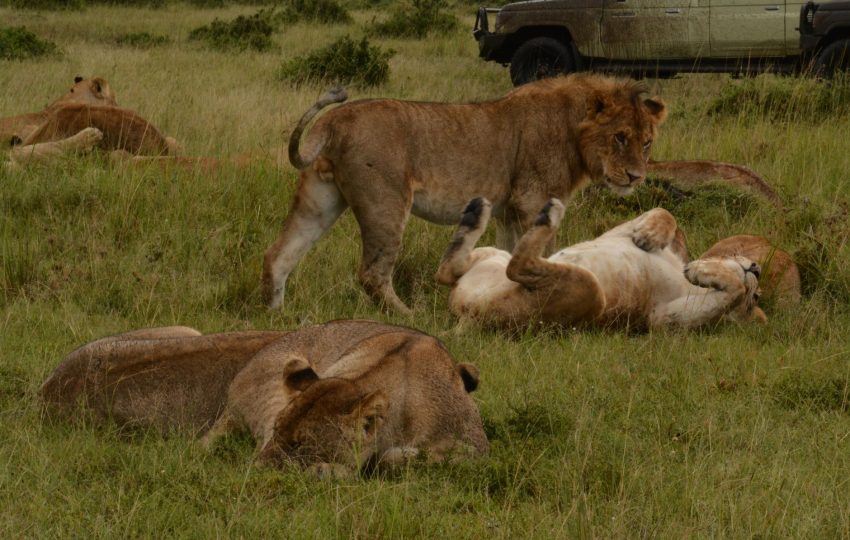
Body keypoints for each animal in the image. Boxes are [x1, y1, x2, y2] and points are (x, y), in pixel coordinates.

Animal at [263, 75, 668, 314]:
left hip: (321, 199)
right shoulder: (533, 199)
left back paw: (275, 314)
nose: (636, 176)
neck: (573, 129)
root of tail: (334, 120)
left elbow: (510, 250)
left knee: (278, 254)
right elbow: (547, 250)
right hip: (386, 203)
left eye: (647, 142)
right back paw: (411, 316)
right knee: (372, 273)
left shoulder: (509, 210)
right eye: (620, 137)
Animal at [435, 198, 765, 331]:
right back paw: (476, 212)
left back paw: (548, 215)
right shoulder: (618, 233)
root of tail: (467, 316)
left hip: (591, 292)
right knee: (446, 271)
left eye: (754, 301)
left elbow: (731, 292)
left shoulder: (660, 320)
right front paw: (649, 235)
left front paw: (700, 271)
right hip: (492, 254)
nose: (757, 270)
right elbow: (665, 212)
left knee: (517, 265)